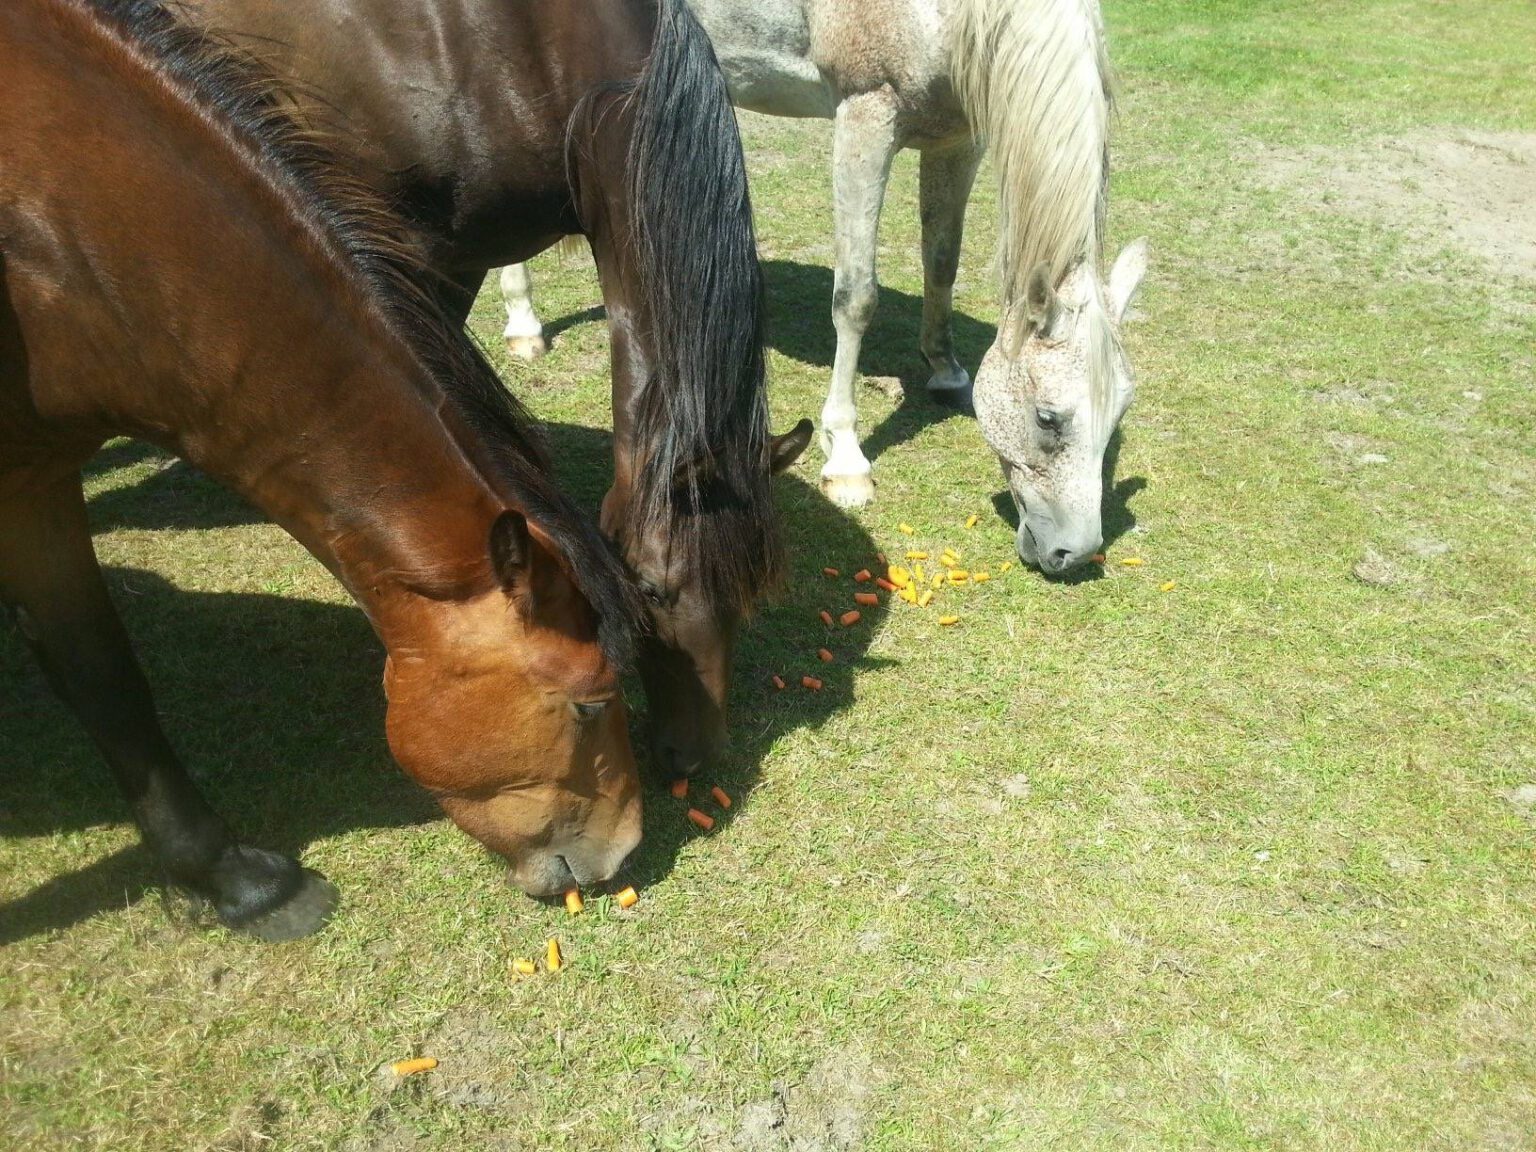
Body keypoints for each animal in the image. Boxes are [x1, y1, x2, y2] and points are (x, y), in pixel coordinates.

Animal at [0, 0, 648, 940]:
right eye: (592, 702)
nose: (624, 852)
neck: (59, 223)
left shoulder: (35, 482)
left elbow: (100, 673)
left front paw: (229, 878)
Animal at [497, 0, 1148, 574]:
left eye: (1119, 412)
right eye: (1048, 418)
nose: (1074, 552)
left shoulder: (956, 137)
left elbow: (942, 261)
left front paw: (946, 371)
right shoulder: (865, 115)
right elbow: (856, 297)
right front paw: (847, 458)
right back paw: (524, 324)